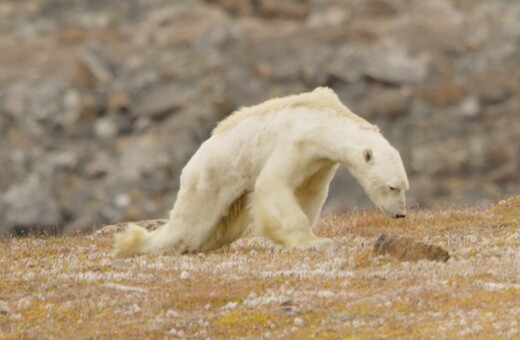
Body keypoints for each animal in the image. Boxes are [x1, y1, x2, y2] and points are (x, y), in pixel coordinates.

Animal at [112, 86, 406, 256]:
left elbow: (310, 193)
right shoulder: (295, 142)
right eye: (392, 186)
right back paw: (133, 244)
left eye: (405, 187)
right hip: (210, 179)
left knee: (219, 228)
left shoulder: (320, 162)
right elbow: (273, 184)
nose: (400, 214)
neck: (323, 119)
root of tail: (191, 162)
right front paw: (312, 241)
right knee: (190, 226)